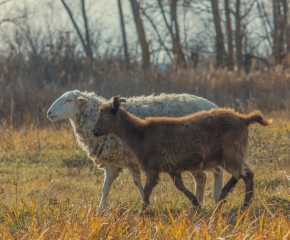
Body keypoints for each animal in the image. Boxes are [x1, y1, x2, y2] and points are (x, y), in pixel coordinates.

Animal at [47, 90, 224, 212]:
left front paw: (146, 205)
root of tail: (213, 106)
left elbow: (136, 184)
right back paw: (199, 204)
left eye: (68, 100)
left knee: (216, 173)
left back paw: (216, 200)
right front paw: (100, 210)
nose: (49, 112)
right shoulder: (116, 162)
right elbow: (111, 186)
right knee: (202, 178)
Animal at [93, 96, 272, 211]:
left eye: (106, 117)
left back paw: (245, 204)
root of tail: (243, 119)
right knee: (240, 174)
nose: (94, 131)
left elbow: (147, 190)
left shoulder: (153, 168)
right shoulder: (172, 168)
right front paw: (196, 204)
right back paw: (224, 195)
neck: (139, 134)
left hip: (231, 153)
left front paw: (143, 212)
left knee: (247, 175)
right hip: (232, 154)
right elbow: (179, 185)